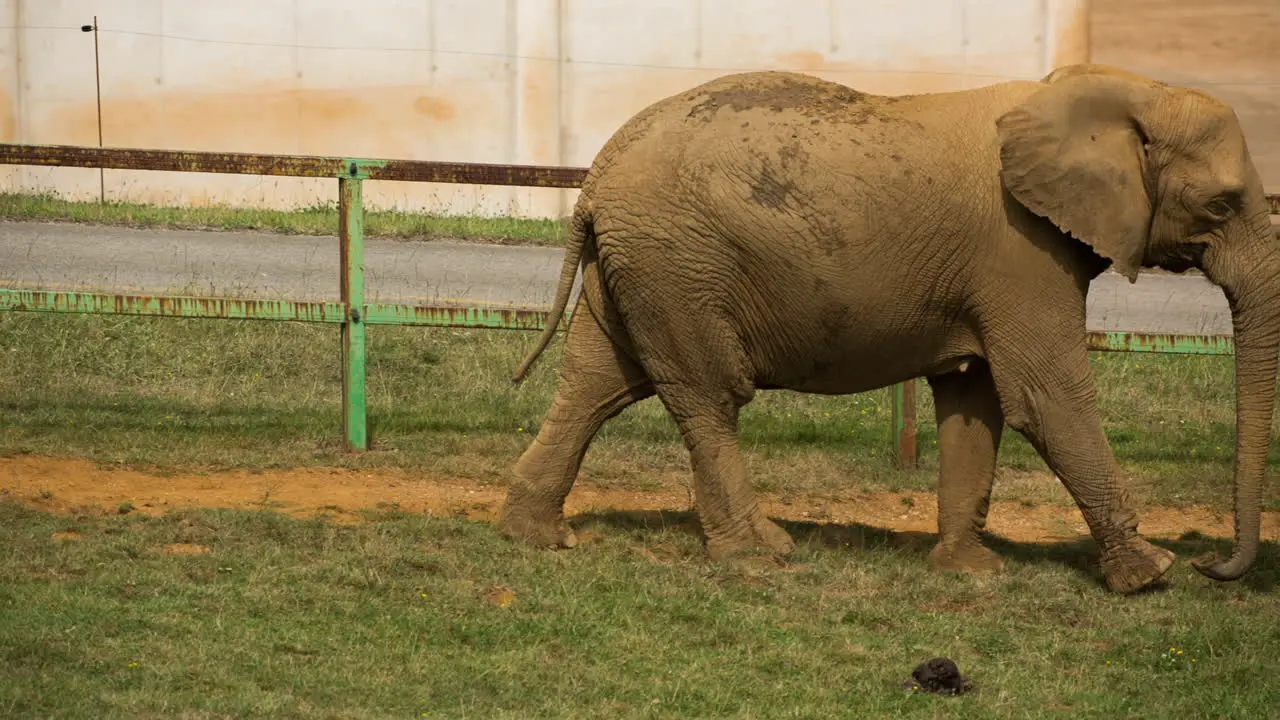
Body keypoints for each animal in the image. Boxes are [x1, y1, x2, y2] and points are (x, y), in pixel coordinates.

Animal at [494, 61, 1274, 591]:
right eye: (1221, 205)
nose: (1211, 564)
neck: (1110, 91)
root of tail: (596, 179)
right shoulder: (1019, 251)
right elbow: (1047, 396)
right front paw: (1149, 575)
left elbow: (975, 398)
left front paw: (968, 572)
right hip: (679, 265)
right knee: (708, 395)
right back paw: (759, 554)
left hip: (640, 266)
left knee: (597, 383)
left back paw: (538, 537)